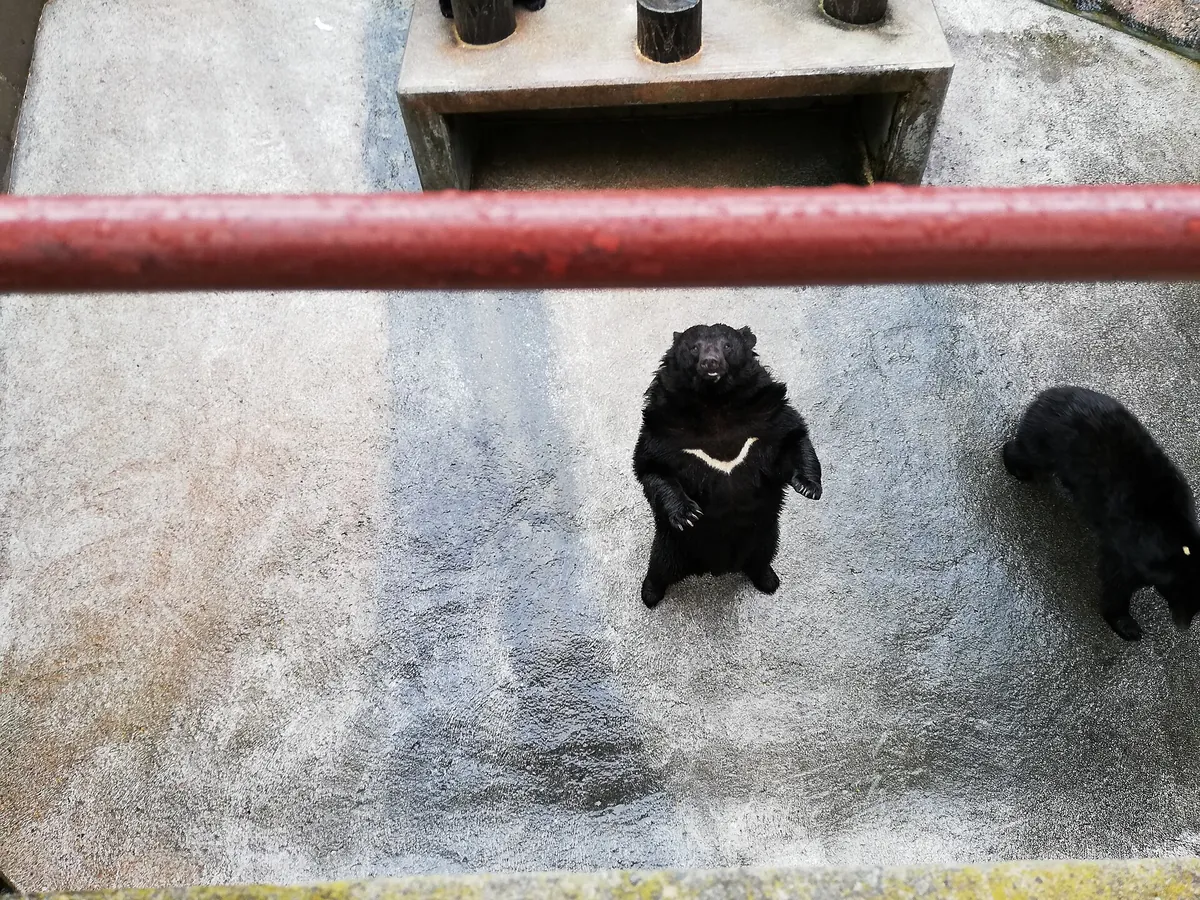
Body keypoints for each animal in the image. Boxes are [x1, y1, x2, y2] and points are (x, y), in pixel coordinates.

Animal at [633, 324, 822, 608]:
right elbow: (651, 466)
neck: (715, 401)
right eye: (694, 347)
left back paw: (769, 581)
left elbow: (792, 437)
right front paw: (688, 514)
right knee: (659, 569)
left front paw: (809, 487)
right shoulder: (664, 426)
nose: (710, 362)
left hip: (766, 536)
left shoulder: (767, 415)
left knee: (762, 559)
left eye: (727, 346)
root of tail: (717, 567)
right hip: (671, 546)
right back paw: (649, 595)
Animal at [1003, 385, 1200, 641]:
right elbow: (1117, 582)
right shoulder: (1127, 546)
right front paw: (1125, 624)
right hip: (1051, 441)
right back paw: (1016, 466)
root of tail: (1049, 393)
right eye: (1180, 593)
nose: (1182, 625)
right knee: (1028, 454)